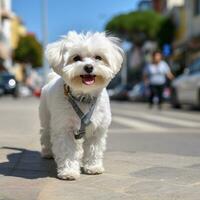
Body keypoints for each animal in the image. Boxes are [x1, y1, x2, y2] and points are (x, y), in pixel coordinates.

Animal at [39, 31, 123, 180]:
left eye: (98, 57)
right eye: (76, 58)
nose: (89, 67)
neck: (84, 98)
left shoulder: (98, 129)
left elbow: (94, 149)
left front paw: (93, 167)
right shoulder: (64, 128)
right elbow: (67, 151)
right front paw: (69, 171)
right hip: (47, 118)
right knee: (46, 133)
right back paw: (47, 152)